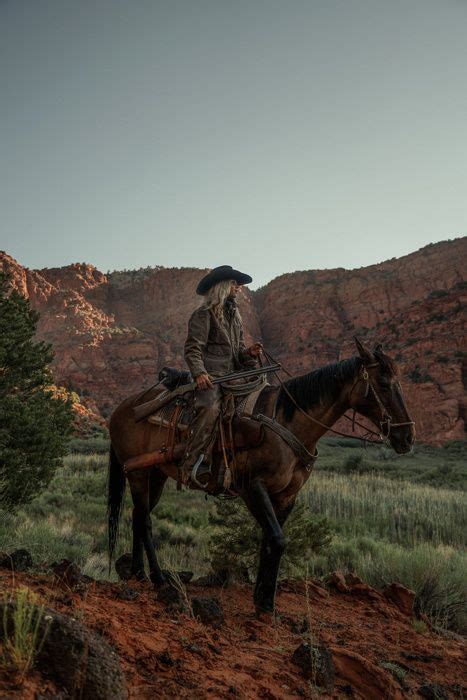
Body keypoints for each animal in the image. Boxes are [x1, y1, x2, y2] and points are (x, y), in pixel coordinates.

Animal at [108, 336, 414, 616]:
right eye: (383, 383)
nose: (407, 437)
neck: (287, 422)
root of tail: (122, 407)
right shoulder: (253, 488)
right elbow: (276, 539)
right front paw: (265, 603)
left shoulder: (287, 496)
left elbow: (269, 540)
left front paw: (263, 597)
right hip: (138, 473)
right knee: (145, 520)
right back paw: (158, 577)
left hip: (156, 474)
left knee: (138, 515)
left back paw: (138, 573)